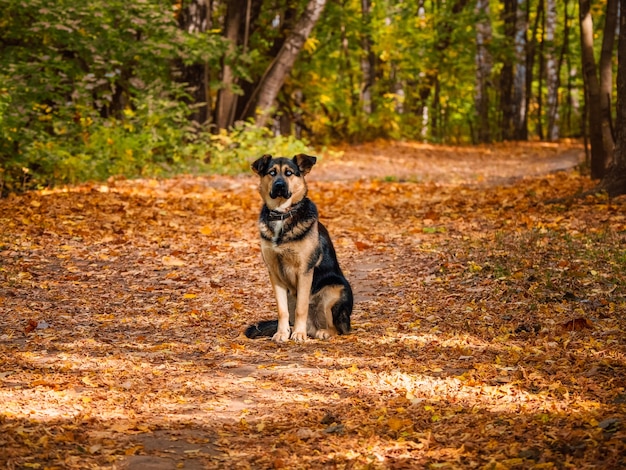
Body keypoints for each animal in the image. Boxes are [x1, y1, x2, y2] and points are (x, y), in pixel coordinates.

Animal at [244, 154, 352, 342]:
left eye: (289, 173)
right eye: (272, 173)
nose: (279, 185)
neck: (282, 214)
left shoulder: (304, 271)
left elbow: (301, 308)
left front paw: (299, 335)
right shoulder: (274, 273)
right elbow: (282, 311)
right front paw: (282, 333)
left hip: (334, 291)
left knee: (336, 327)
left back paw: (320, 332)